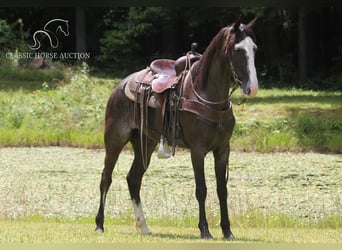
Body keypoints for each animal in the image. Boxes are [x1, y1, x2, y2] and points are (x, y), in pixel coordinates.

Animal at [95, 16, 258, 239]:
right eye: (237, 49)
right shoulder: (197, 150)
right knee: (106, 178)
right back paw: (99, 224)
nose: (253, 87)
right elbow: (201, 189)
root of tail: (121, 85)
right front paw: (205, 230)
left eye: (254, 48)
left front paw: (227, 231)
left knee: (133, 179)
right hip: (115, 140)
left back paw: (143, 226)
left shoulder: (223, 150)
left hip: (146, 143)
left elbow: (222, 190)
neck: (205, 93)